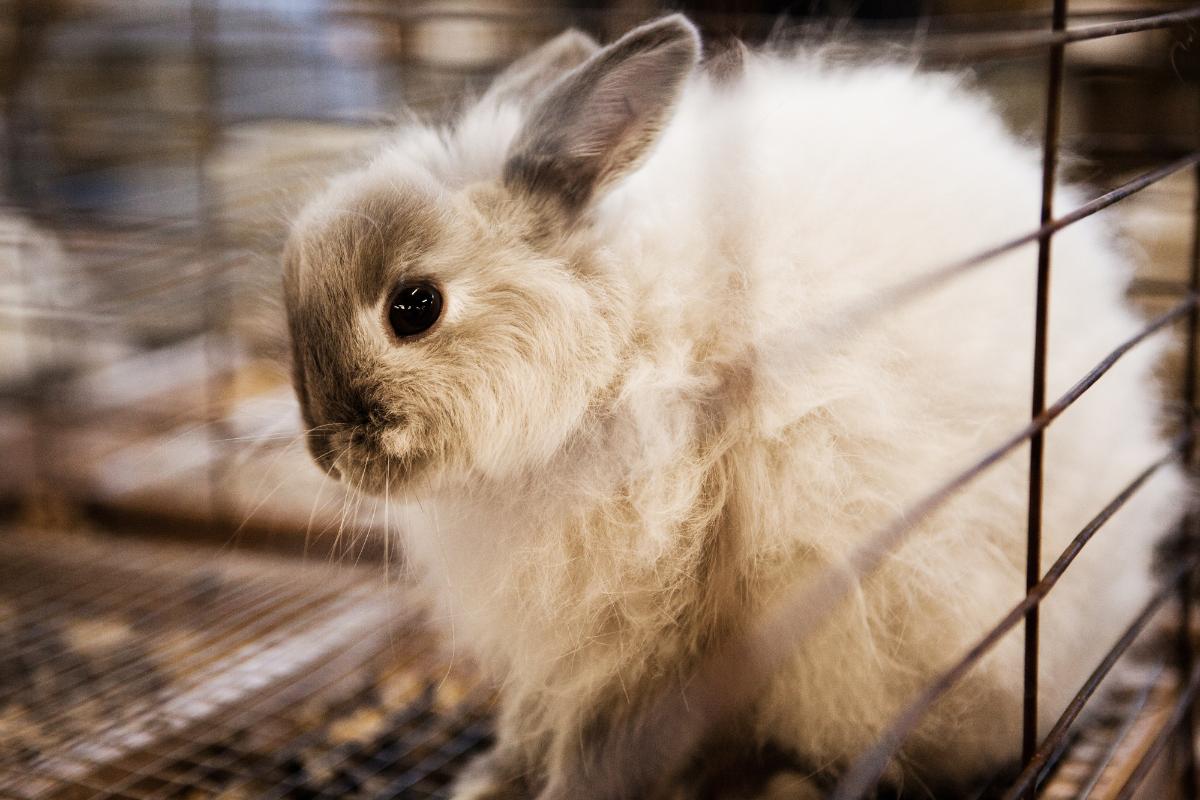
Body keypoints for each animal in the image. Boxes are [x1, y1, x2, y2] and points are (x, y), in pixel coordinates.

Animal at [282, 15, 1190, 799]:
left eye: (414, 308)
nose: (327, 454)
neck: (611, 351)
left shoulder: (665, 620)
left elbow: (610, 741)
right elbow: (538, 720)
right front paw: (493, 775)